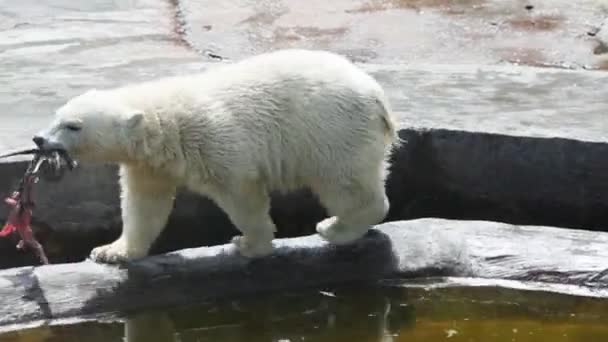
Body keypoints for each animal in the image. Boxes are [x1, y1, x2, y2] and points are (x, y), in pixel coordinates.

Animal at [35, 48, 402, 264]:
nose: (39, 139)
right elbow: (144, 205)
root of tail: (377, 96)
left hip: (331, 132)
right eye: (56, 117)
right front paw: (111, 252)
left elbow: (242, 195)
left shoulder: (216, 142)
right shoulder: (149, 166)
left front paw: (248, 244)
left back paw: (334, 228)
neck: (163, 124)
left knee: (345, 184)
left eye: (73, 126)